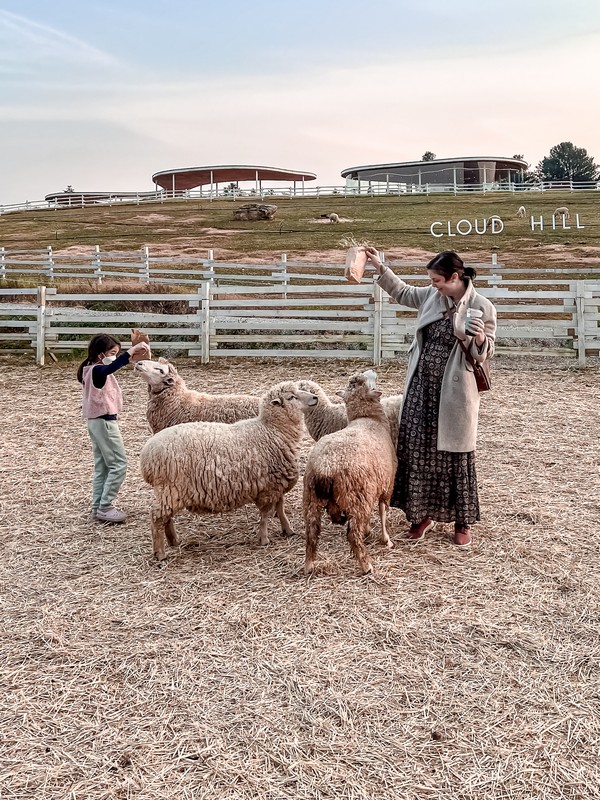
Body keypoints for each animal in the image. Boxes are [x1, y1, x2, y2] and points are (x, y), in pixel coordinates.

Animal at [140, 382, 318, 564]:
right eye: (291, 397)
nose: (315, 398)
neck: (272, 430)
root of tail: (147, 455)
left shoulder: (276, 483)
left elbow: (280, 508)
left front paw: (287, 530)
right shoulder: (268, 486)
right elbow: (265, 515)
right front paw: (263, 538)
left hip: (167, 491)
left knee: (165, 517)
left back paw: (173, 541)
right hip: (170, 488)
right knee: (157, 517)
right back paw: (160, 553)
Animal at [304, 372, 398, 572]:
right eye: (369, 383)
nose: (371, 372)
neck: (368, 418)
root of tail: (326, 467)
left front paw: (369, 530)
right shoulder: (386, 484)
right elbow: (382, 511)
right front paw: (386, 539)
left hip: (310, 499)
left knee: (312, 533)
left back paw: (309, 564)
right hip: (358, 496)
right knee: (353, 535)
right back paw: (366, 565)